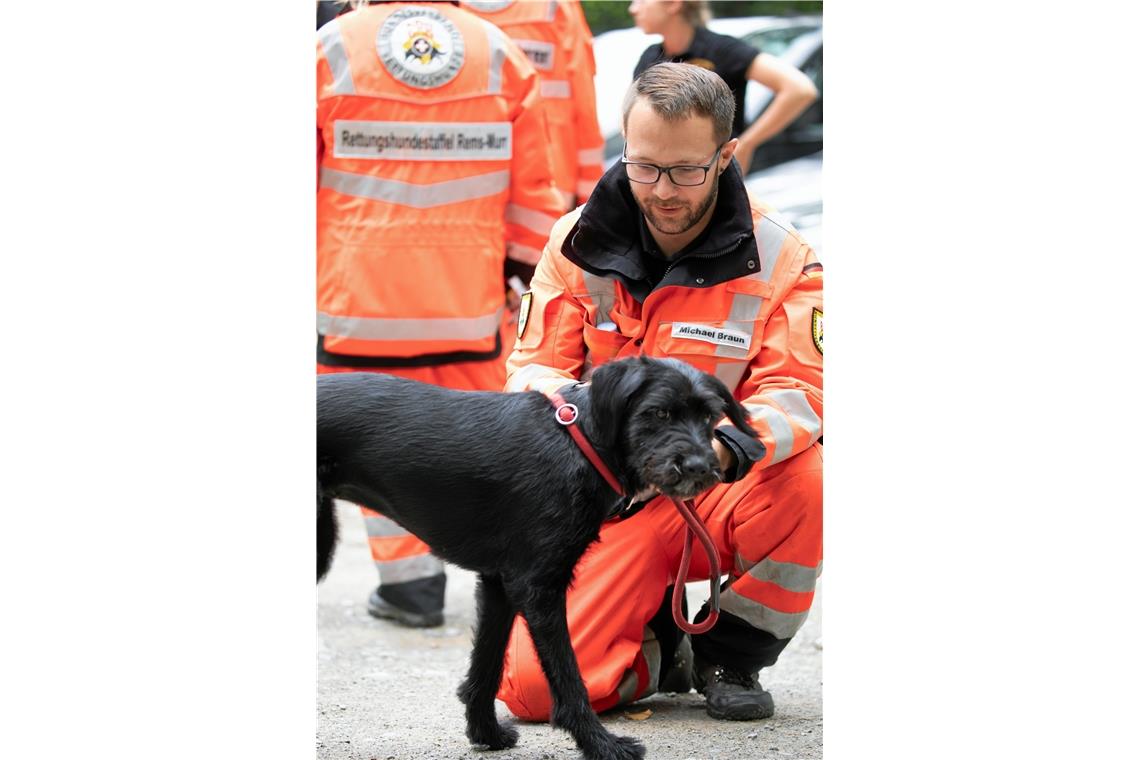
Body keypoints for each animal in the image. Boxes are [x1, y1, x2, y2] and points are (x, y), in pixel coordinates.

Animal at [316, 357, 756, 760]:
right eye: (660, 412)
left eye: (708, 416)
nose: (701, 467)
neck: (581, 446)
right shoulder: (539, 587)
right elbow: (568, 677)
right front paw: (601, 744)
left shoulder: (499, 585)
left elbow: (487, 665)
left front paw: (487, 733)